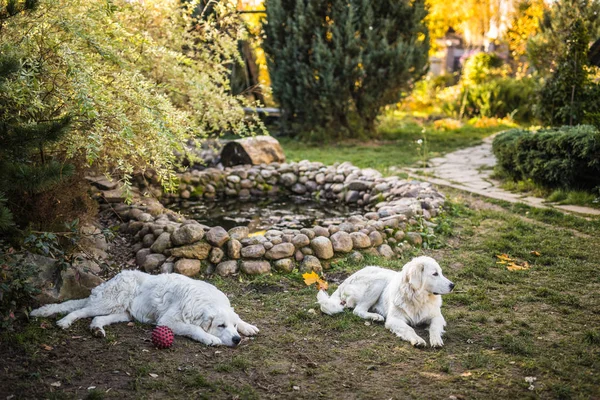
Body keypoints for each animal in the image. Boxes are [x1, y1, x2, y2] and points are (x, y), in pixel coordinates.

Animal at [31, 272, 258, 346]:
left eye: (233, 326)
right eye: (220, 326)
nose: (237, 340)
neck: (205, 301)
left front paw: (248, 327)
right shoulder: (168, 321)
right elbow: (194, 328)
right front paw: (210, 338)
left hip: (121, 313)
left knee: (97, 319)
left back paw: (97, 330)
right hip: (108, 302)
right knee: (80, 310)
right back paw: (65, 321)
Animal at [316, 256, 452, 346]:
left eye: (441, 273)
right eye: (435, 274)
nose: (453, 285)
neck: (418, 298)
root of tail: (346, 279)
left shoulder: (437, 317)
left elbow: (434, 327)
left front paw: (436, 340)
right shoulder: (394, 319)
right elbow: (409, 329)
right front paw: (417, 340)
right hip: (378, 281)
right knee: (357, 310)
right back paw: (375, 316)